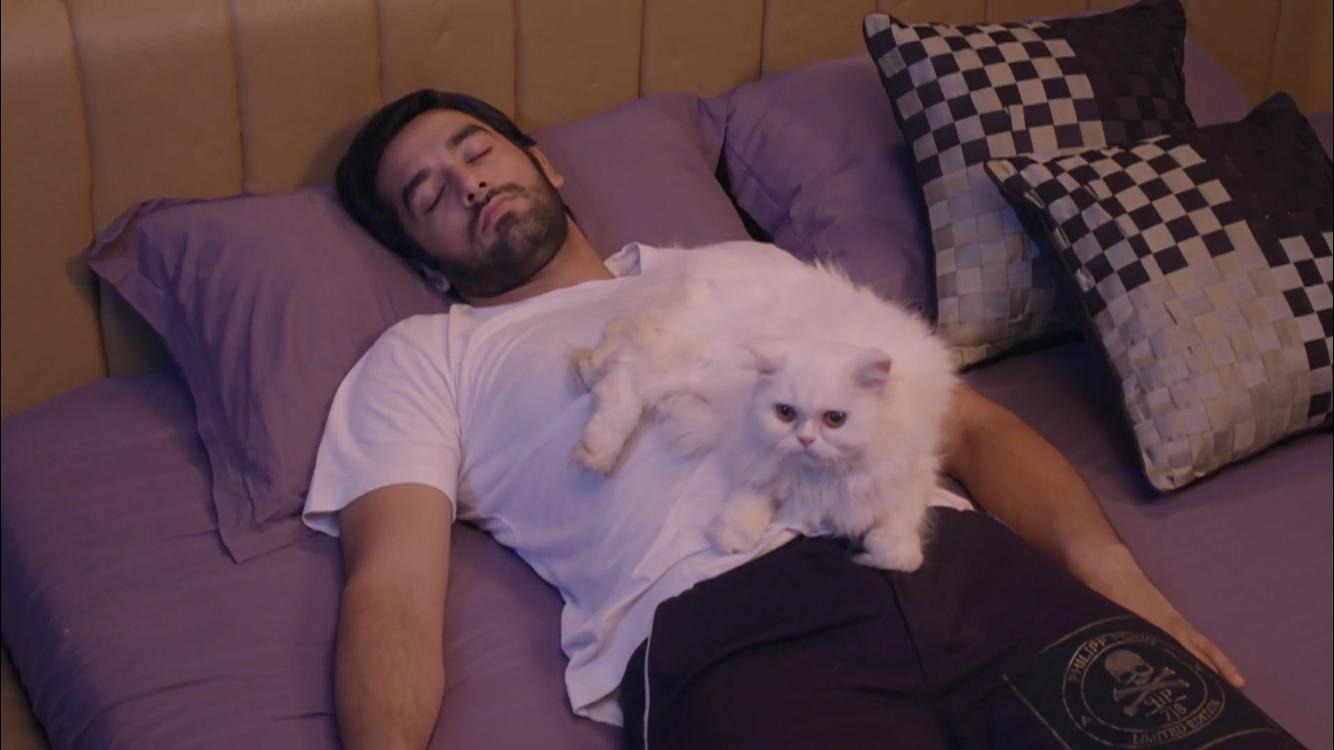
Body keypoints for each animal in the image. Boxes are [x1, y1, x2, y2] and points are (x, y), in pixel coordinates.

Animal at [571, 242, 957, 571]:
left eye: (835, 419)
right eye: (786, 412)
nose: (806, 440)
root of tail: (694, 263)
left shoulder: (912, 470)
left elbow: (903, 547)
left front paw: (877, 551)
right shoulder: (757, 446)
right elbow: (753, 493)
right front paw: (732, 533)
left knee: (615, 362)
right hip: (688, 364)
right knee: (627, 382)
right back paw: (598, 453)